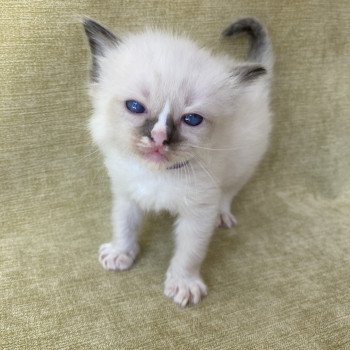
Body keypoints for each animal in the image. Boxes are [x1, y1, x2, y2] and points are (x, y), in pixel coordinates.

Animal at [82, 17, 274, 306]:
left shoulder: (199, 213)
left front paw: (184, 284)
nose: (159, 137)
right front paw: (120, 253)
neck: (158, 174)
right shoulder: (126, 194)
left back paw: (222, 214)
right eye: (135, 107)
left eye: (192, 119)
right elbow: (124, 226)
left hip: (244, 163)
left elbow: (189, 253)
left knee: (229, 192)